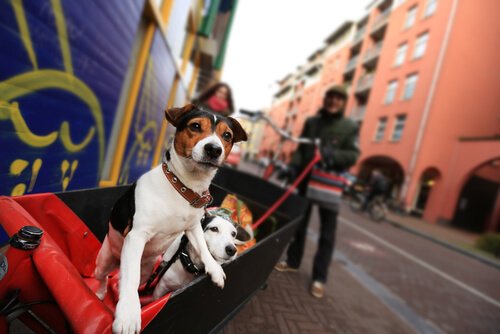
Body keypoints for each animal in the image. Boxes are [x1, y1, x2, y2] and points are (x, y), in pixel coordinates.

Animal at [93, 103, 246, 332]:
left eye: (226, 135)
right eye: (195, 126)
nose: (213, 149)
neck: (183, 188)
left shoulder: (193, 228)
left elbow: (203, 247)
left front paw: (214, 268)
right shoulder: (136, 236)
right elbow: (130, 280)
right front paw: (128, 314)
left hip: (147, 268)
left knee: (130, 278)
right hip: (105, 258)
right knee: (104, 276)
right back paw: (102, 292)